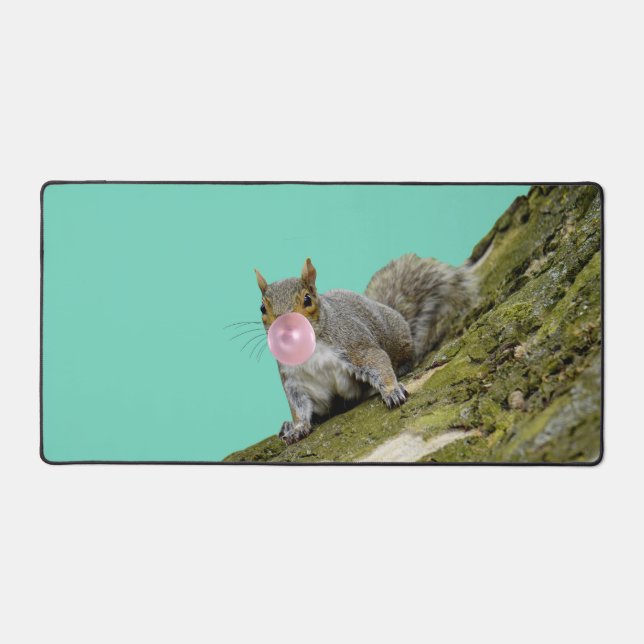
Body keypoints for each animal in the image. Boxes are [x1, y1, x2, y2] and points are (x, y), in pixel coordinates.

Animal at [254, 254, 476, 445]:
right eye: (262, 308)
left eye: (307, 299)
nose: (284, 328)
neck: (311, 350)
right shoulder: (295, 380)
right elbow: (299, 406)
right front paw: (298, 427)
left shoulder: (354, 346)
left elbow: (377, 361)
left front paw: (392, 391)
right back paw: (287, 425)